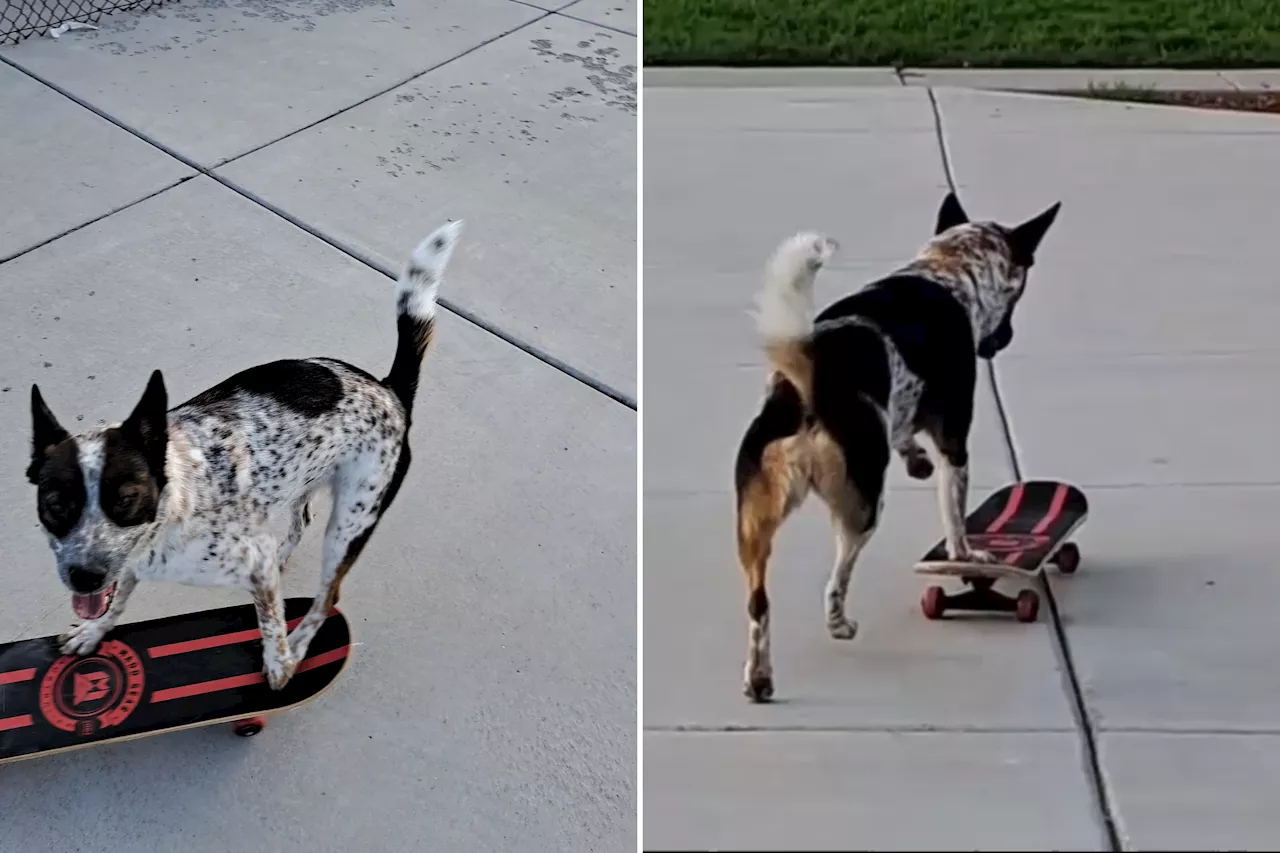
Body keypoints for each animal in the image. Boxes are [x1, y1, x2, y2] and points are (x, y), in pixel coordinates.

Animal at [24, 217, 463, 686]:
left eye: (126, 499)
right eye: (55, 505)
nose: (84, 577)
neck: (174, 510)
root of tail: (389, 389)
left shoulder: (250, 563)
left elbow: (269, 619)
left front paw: (279, 660)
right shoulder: (129, 567)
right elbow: (117, 597)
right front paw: (93, 632)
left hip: (351, 521)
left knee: (326, 596)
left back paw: (298, 646)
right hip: (302, 484)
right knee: (300, 525)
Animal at [737, 192, 1064, 696]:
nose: (1004, 339)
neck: (946, 271)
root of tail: (806, 389)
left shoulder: (907, 409)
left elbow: (906, 430)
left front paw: (915, 459)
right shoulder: (954, 438)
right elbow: (955, 519)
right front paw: (967, 558)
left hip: (755, 520)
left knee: (759, 603)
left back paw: (759, 677)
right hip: (862, 504)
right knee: (835, 581)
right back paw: (839, 624)